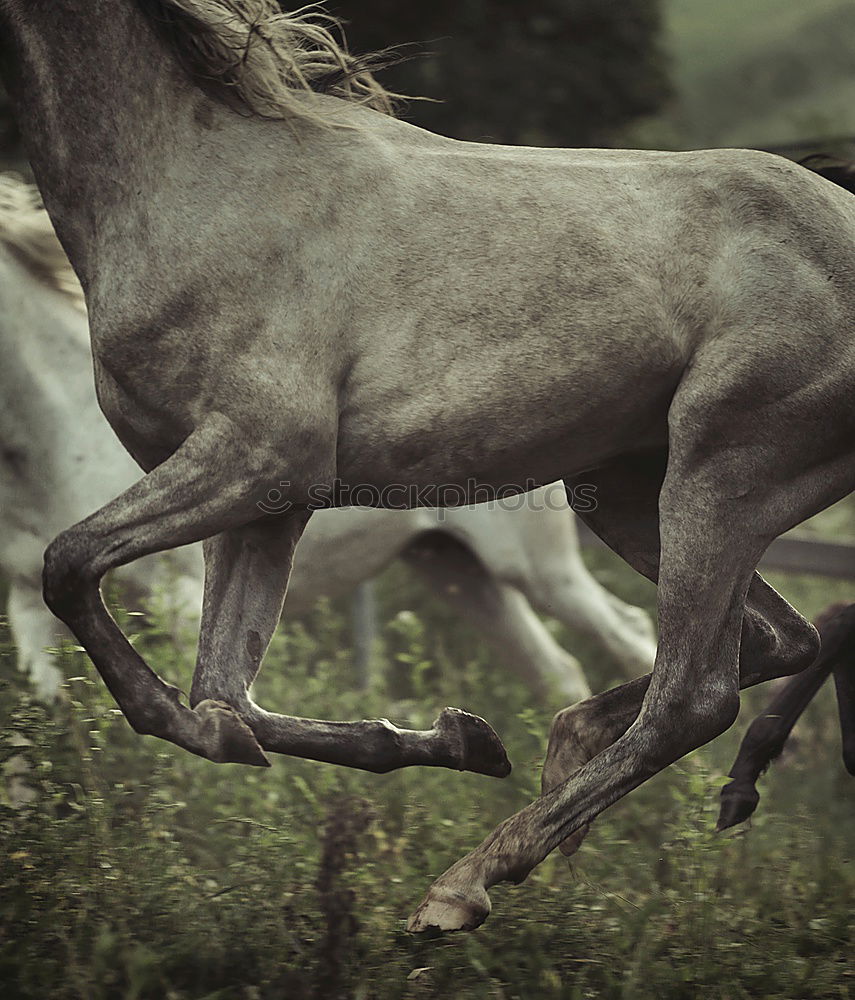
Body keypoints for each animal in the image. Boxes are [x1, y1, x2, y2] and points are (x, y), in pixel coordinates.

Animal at [0, 172, 656, 704]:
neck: (54, 442)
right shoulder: (29, 607)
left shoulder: (180, 597)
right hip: (456, 569)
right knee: (557, 673)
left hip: (538, 568)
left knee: (630, 635)